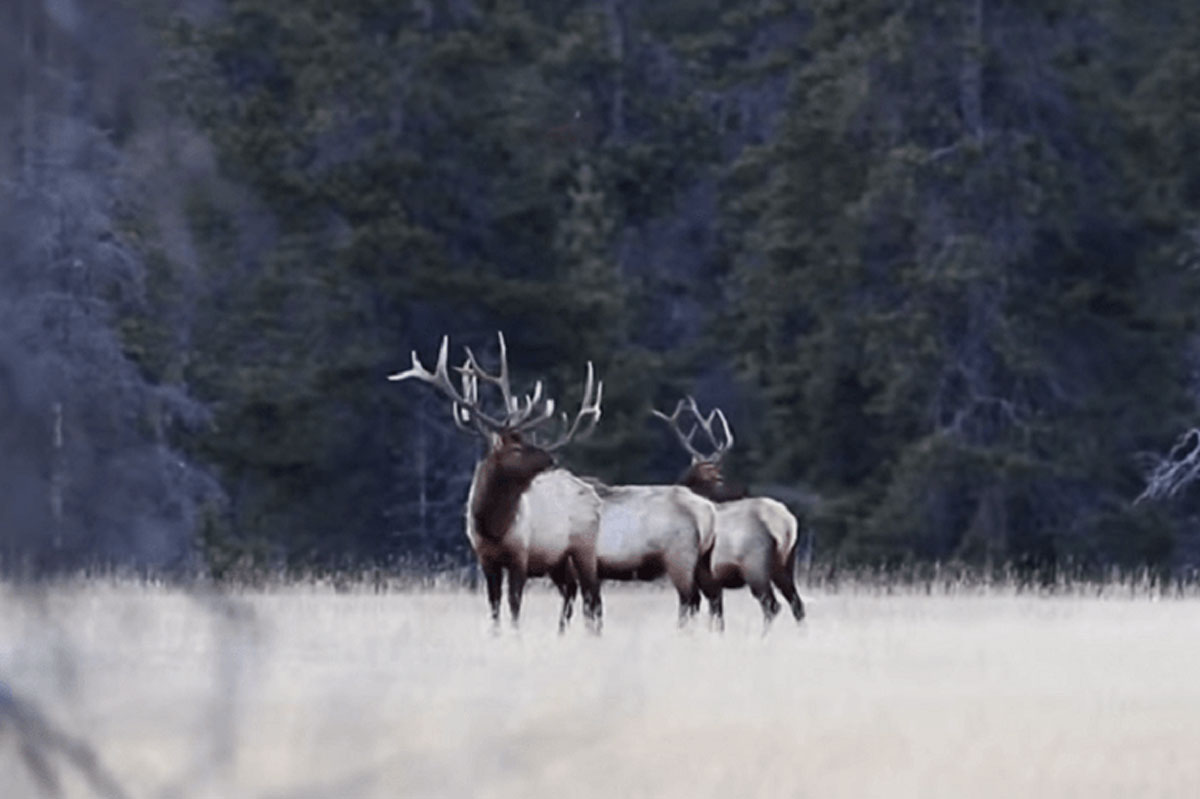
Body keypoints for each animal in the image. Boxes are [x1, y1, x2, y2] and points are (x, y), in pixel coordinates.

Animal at [388, 328, 604, 628]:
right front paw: (496, 633)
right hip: (557, 561)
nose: (552, 459)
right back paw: (561, 632)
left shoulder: (520, 555)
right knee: (573, 593)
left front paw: (515, 634)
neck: (493, 527)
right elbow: (494, 605)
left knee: (593, 597)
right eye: (516, 448)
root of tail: (595, 496)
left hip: (584, 547)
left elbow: (514, 605)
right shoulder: (485, 558)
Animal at [652, 395, 811, 628]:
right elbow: (716, 616)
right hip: (785, 565)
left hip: (755, 566)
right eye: (716, 477)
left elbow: (694, 613)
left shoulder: (700, 576)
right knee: (797, 604)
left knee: (772, 605)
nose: (741, 491)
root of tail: (786, 525)